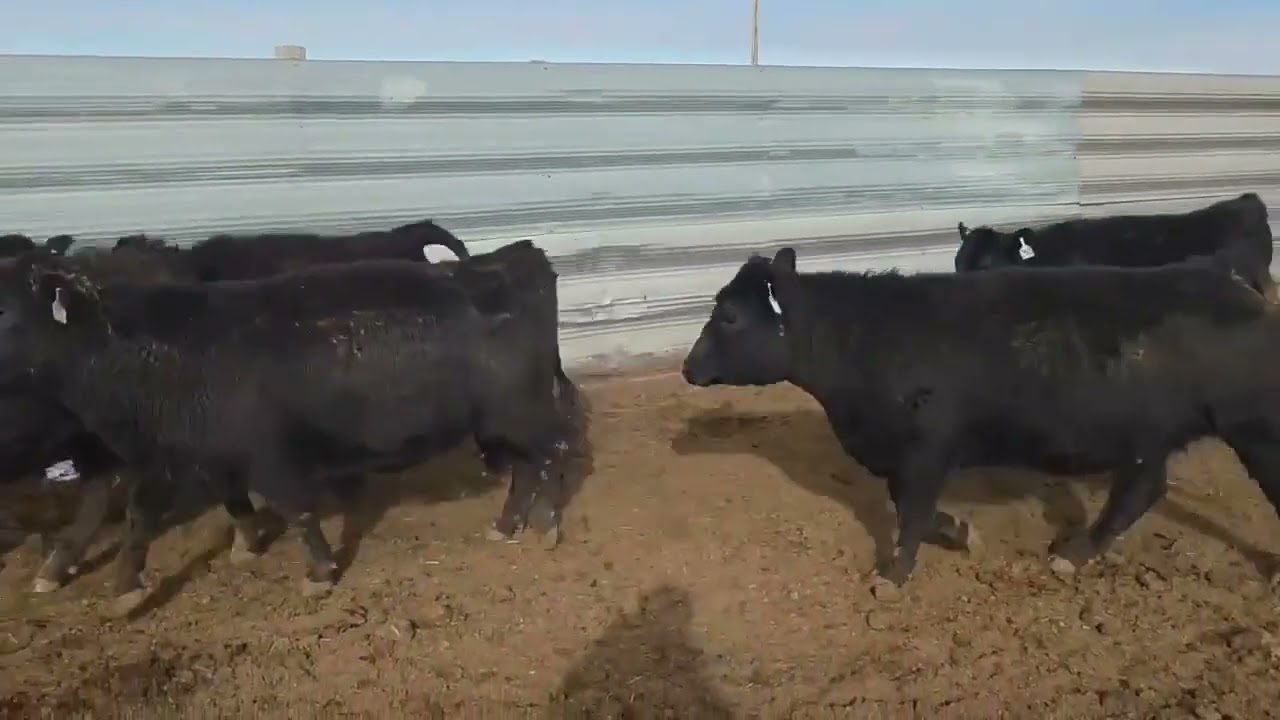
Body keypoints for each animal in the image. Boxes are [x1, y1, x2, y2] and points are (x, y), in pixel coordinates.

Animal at [0, 243, 578, 615]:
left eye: (6, 314)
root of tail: (506, 261)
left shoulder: (266, 454)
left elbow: (297, 509)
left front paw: (319, 574)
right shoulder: (178, 455)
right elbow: (145, 516)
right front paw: (130, 586)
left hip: (523, 412)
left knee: (553, 455)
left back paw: (546, 526)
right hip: (500, 423)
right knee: (526, 468)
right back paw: (508, 524)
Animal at [680, 247, 1279, 595]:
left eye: (728, 315)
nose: (688, 367)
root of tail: (1239, 290)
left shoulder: (926, 449)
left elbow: (911, 512)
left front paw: (892, 577)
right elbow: (914, 509)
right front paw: (960, 534)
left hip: (1253, 428)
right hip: (1145, 436)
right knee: (1141, 489)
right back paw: (1076, 554)